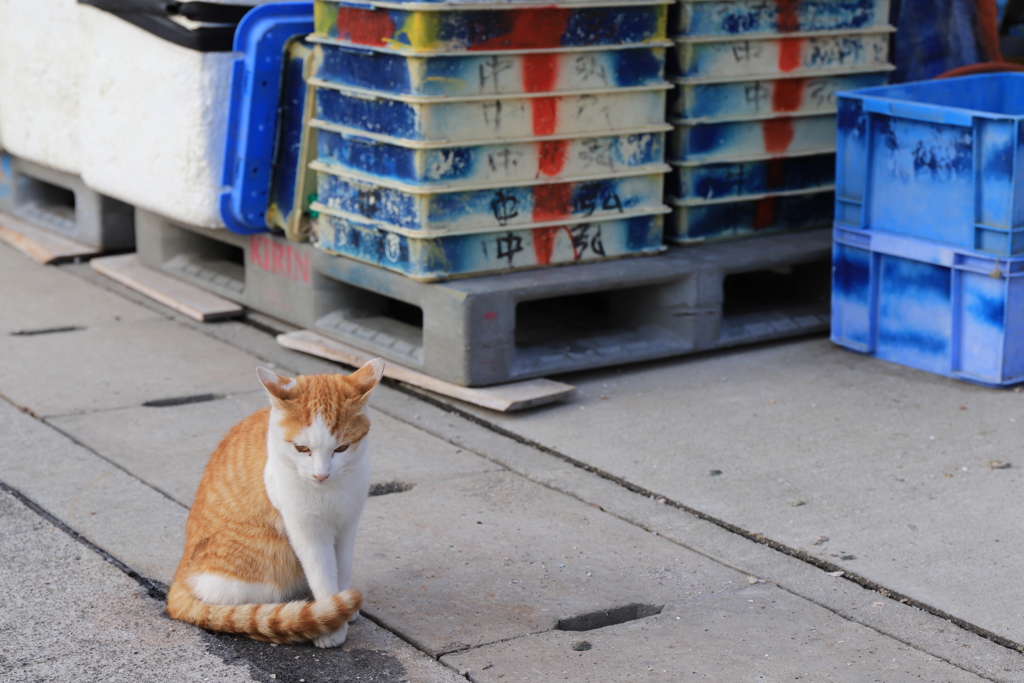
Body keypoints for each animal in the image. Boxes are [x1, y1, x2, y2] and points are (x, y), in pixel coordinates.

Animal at [167, 360, 385, 651]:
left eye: (341, 448)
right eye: (302, 448)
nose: (321, 474)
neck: (329, 490)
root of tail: (181, 573)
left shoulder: (347, 525)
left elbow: (343, 567)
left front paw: (343, 607)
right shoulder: (306, 532)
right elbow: (323, 575)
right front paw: (332, 622)